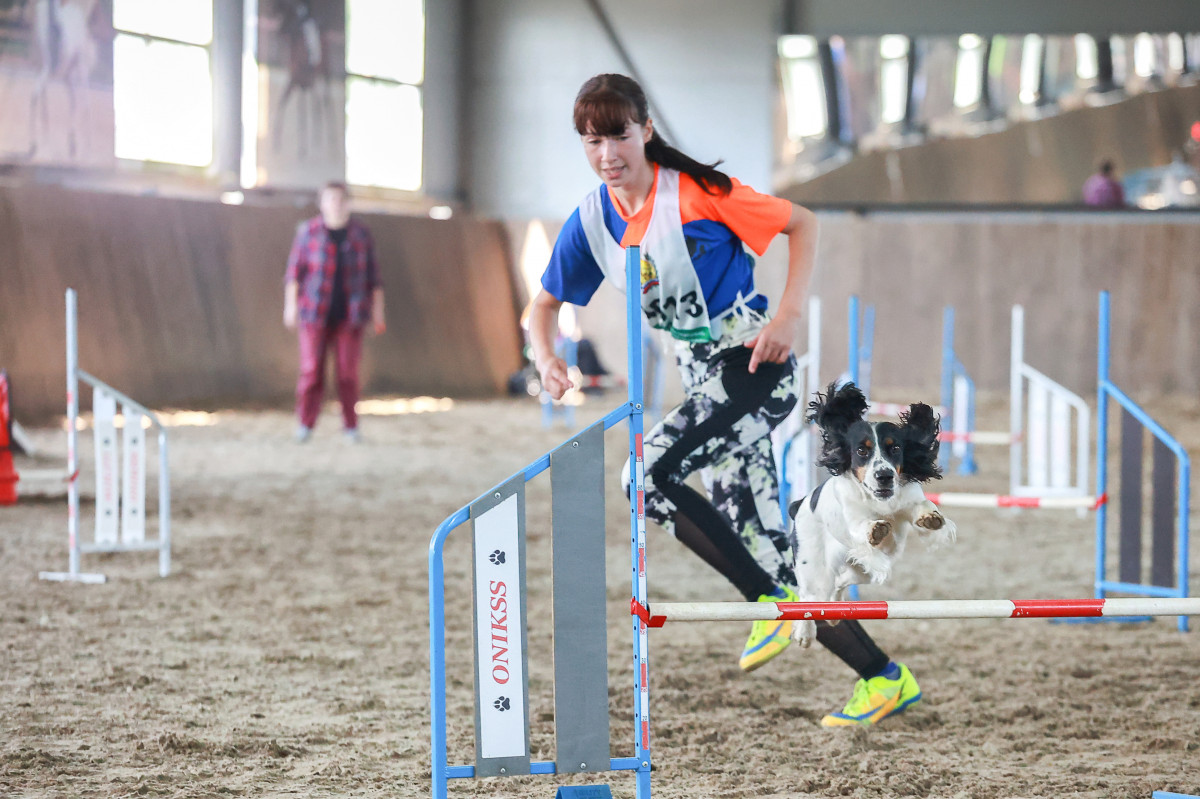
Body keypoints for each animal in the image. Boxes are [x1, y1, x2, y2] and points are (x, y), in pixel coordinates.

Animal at [787, 379, 955, 647]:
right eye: (861, 451)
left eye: (895, 448)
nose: (884, 476)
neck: (880, 501)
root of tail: (800, 504)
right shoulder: (854, 521)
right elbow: (862, 527)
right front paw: (875, 529)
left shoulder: (905, 508)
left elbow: (922, 506)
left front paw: (929, 518)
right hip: (814, 566)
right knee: (809, 597)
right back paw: (804, 632)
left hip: (861, 570)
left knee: (839, 583)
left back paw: (834, 613)